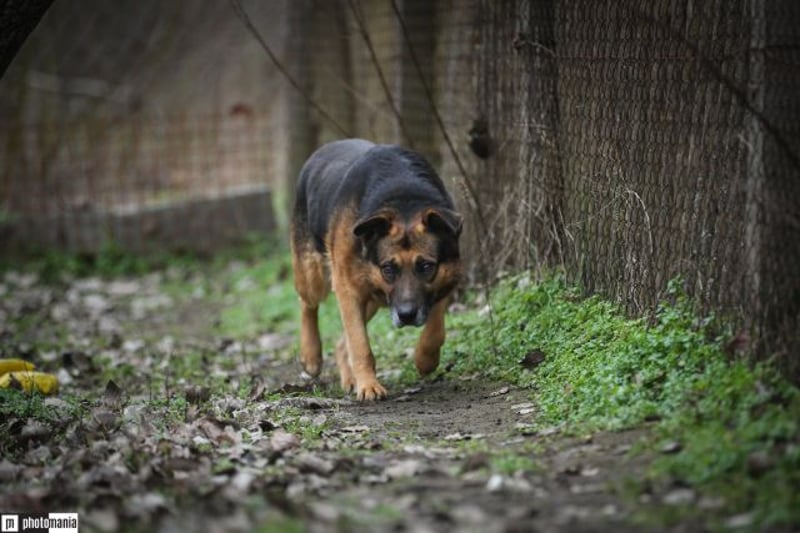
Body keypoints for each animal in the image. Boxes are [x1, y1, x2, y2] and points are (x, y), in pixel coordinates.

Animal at [290, 139, 463, 400]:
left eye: (426, 266)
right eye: (388, 268)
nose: (406, 315)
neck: (404, 200)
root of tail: (321, 151)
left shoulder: (445, 279)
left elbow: (435, 328)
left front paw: (426, 358)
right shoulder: (347, 289)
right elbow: (360, 344)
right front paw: (369, 385)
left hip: (373, 298)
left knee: (341, 343)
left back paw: (349, 376)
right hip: (314, 276)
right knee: (307, 303)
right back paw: (311, 355)